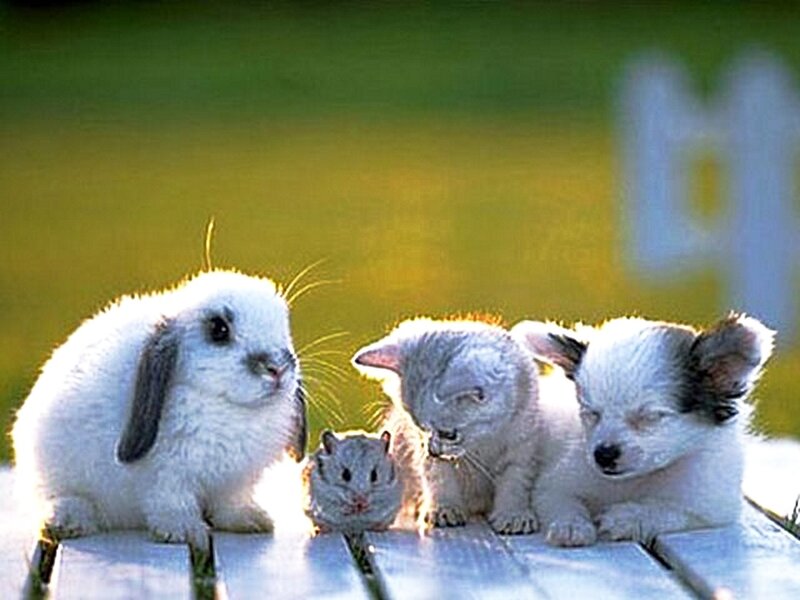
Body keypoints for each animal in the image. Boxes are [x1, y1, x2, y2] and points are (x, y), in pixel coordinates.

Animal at [12, 269, 307, 550]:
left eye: (285, 326)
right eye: (219, 329)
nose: (277, 368)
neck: (232, 408)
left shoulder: (235, 482)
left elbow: (230, 504)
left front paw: (251, 520)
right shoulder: (167, 476)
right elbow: (172, 503)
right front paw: (184, 531)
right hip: (54, 473)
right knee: (61, 497)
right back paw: (69, 520)